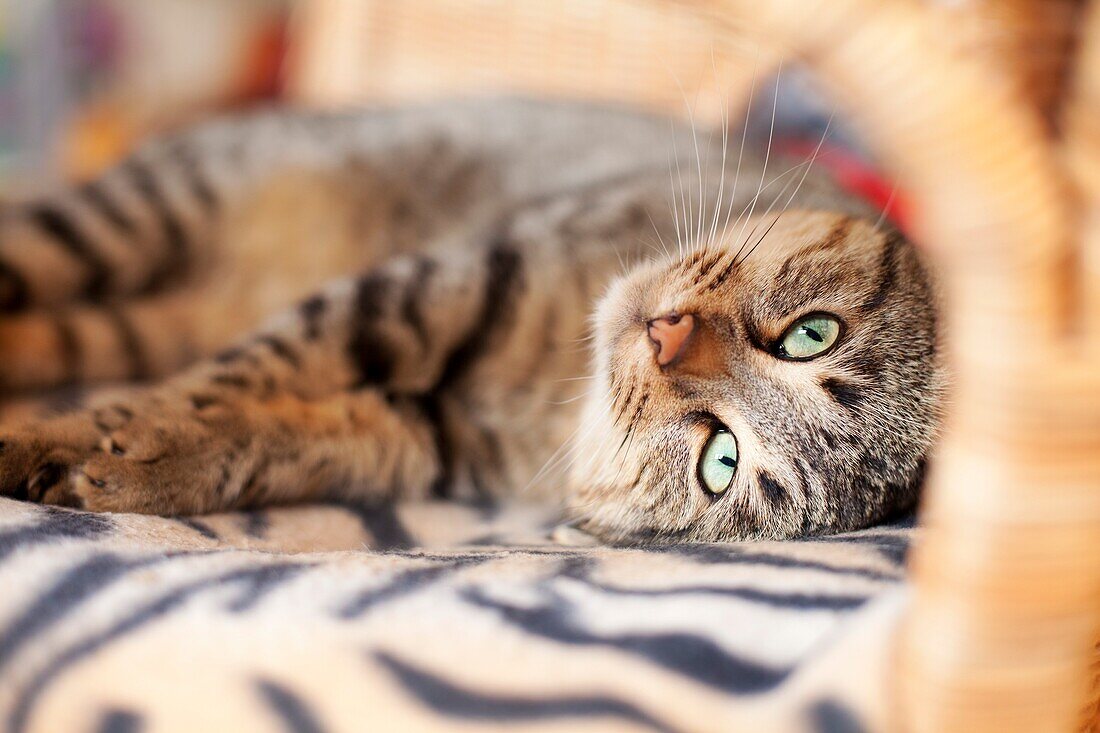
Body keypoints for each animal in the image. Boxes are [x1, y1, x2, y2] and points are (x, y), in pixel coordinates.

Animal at [0, 96, 946, 539]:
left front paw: (138, 461)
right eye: (812, 333)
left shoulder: (416, 432)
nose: (666, 337)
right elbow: (230, 379)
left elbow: (258, 440)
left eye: (721, 459)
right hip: (137, 213)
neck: (558, 393)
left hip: (138, 316)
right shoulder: (437, 282)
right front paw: (70, 435)